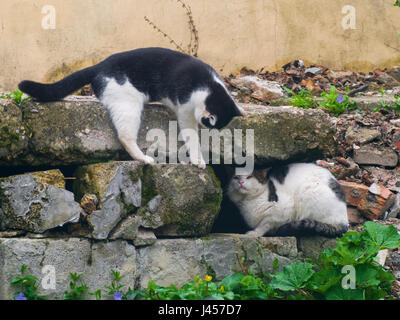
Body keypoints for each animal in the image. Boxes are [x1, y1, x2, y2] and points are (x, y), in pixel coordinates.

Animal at [18, 47, 242, 169]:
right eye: (210, 122)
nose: (208, 127)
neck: (209, 86)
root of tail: (99, 66)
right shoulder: (186, 111)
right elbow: (192, 136)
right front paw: (198, 159)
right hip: (128, 105)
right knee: (125, 136)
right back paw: (143, 158)